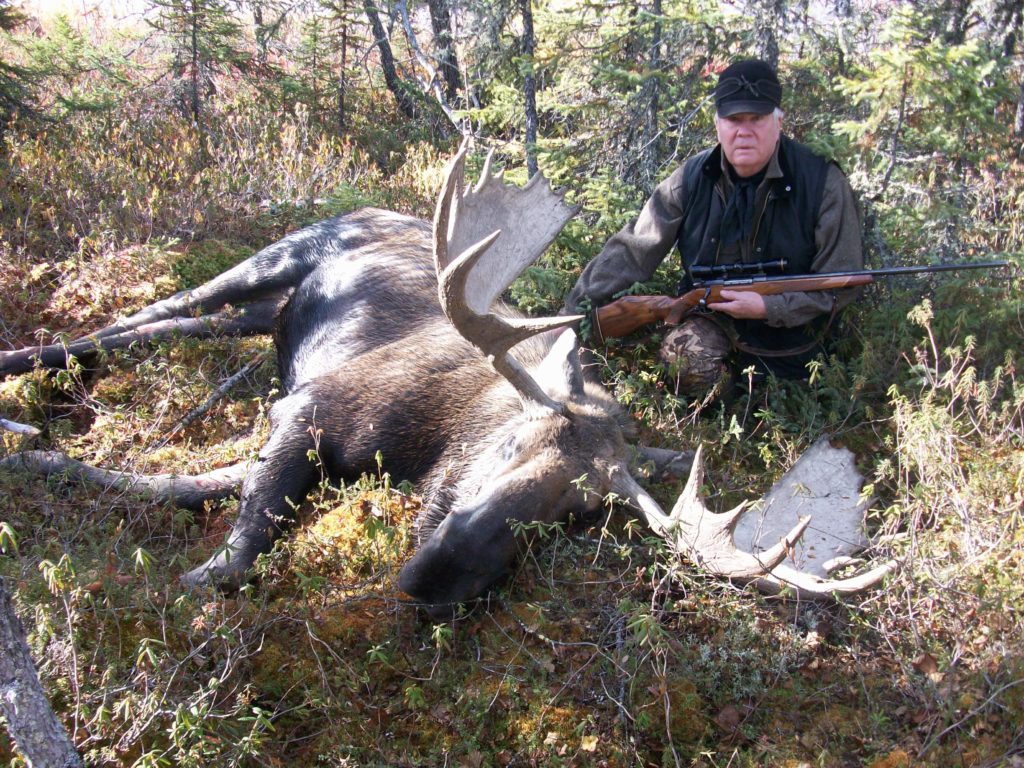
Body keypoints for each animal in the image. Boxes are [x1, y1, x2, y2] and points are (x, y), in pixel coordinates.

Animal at [0, 141, 892, 618]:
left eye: (576, 515)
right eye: (515, 446)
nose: (431, 579)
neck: (429, 439)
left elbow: (178, 486)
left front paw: (45, 462)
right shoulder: (312, 408)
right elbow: (243, 542)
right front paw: (193, 578)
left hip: (258, 313)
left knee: (161, 329)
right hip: (272, 259)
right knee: (132, 318)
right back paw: (22, 375)